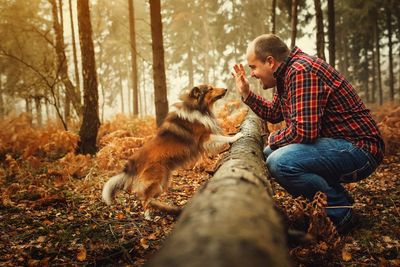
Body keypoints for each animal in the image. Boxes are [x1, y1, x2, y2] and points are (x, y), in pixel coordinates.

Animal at [101, 85, 242, 215]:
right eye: (210, 89)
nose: (226, 89)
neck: (197, 108)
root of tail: (133, 162)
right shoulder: (204, 138)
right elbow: (222, 137)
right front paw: (236, 136)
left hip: (162, 183)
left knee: (147, 197)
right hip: (156, 181)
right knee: (144, 199)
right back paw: (149, 215)